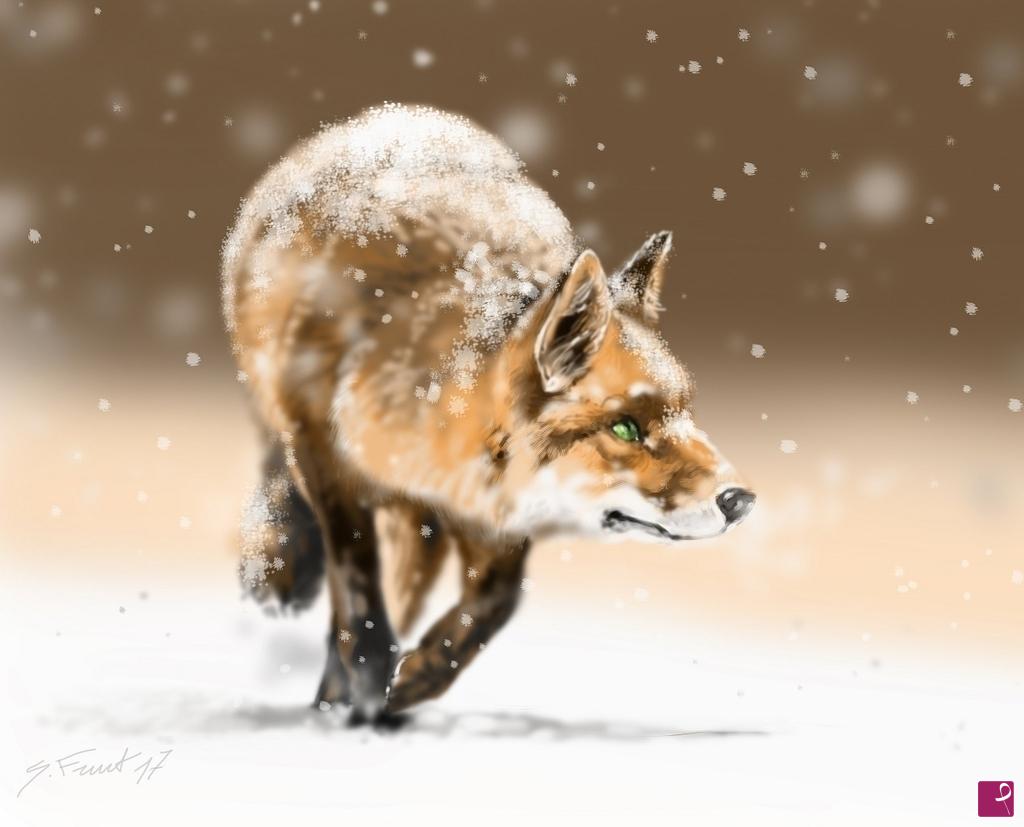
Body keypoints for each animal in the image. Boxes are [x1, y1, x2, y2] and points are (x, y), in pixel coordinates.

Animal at [222, 103, 755, 722]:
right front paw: (365, 680)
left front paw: (411, 680)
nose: (740, 500)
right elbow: (357, 584)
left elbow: (494, 604)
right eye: (625, 427)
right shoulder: (325, 456)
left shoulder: (492, 511)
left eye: (686, 413)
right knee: (279, 480)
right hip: (279, 414)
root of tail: (394, 116)